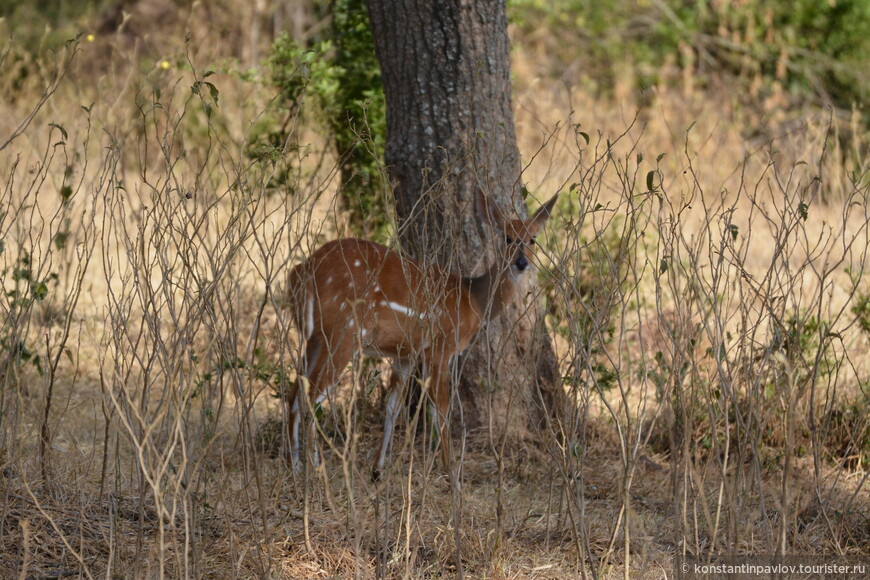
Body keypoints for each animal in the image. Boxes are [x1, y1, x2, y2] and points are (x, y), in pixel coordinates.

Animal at [286, 188, 560, 478]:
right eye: (507, 237)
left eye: (532, 239)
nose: (521, 263)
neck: (472, 300)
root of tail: (300, 273)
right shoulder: (441, 346)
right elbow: (441, 411)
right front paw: (452, 474)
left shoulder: (405, 354)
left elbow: (393, 408)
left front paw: (378, 470)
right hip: (343, 334)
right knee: (311, 395)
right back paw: (316, 468)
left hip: (314, 339)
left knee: (294, 393)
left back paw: (296, 466)